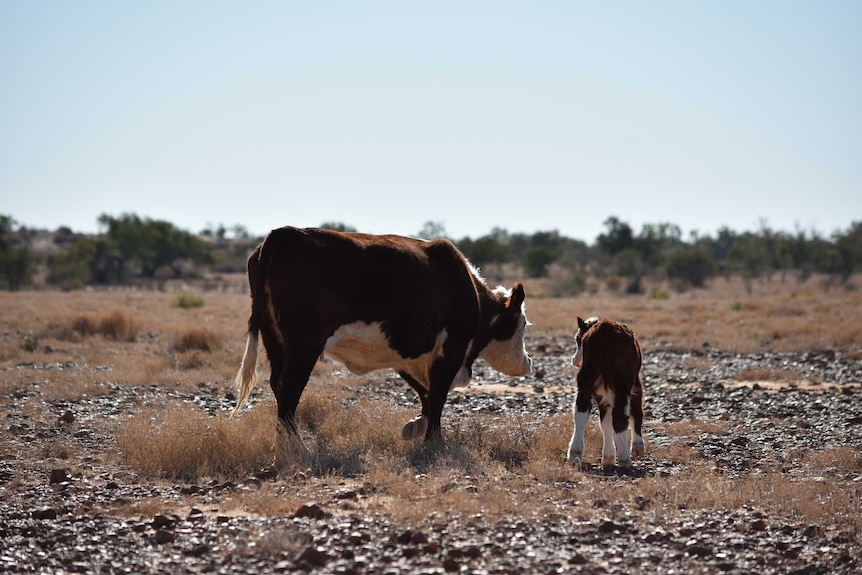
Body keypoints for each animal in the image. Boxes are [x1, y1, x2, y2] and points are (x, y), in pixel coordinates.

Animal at [231, 225, 532, 468]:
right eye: (523, 324)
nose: (528, 363)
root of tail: (290, 232)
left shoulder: (408, 355)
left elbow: (425, 393)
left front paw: (415, 426)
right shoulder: (450, 350)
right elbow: (437, 395)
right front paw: (434, 442)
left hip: (274, 338)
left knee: (277, 384)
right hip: (305, 344)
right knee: (289, 387)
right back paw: (298, 453)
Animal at [568, 318, 648, 470]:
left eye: (577, 339)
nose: (574, 360)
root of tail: (605, 329)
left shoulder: (601, 394)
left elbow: (605, 423)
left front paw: (608, 458)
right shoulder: (636, 384)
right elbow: (636, 411)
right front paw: (637, 448)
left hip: (586, 378)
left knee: (580, 411)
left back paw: (574, 454)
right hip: (622, 382)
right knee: (620, 415)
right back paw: (625, 460)